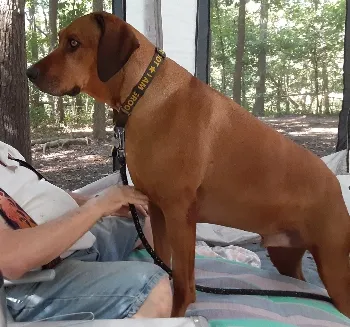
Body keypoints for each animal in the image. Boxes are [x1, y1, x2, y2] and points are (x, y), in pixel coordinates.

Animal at [27, 12, 350, 318]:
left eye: (73, 43)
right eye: (61, 40)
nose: (30, 72)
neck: (142, 94)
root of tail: (335, 183)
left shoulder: (179, 215)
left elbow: (183, 282)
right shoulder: (156, 209)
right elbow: (161, 264)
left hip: (335, 267)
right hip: (285, 254)